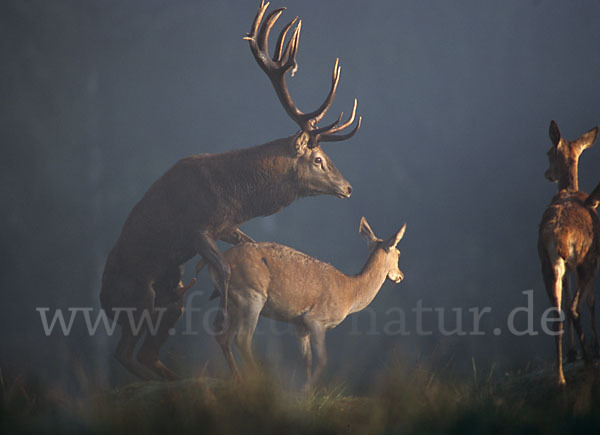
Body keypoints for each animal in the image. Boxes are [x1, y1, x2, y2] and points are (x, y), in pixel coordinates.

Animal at [100, 0, 360, 382]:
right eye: (318, 159)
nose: (348, 187)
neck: (234, 194)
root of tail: (102, 301)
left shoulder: (227, 227)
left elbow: (247, 249)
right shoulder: (196, 227)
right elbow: (223, 269)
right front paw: (224, 321)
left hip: (170, 300)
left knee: (146, 351)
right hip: (136, 300)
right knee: (124, 352)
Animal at [199, 218, 406, 392]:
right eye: (398, 252)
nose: (400, 276)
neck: (349, 293)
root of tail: (215, 265)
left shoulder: (299, 324)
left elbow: (307, 359)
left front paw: (307, 391)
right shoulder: (316, 319)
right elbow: (322, 359)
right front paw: (307, 390)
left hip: (233, 302)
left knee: (223, 336)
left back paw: (239, 380)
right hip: (252, 295)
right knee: (242, 339)